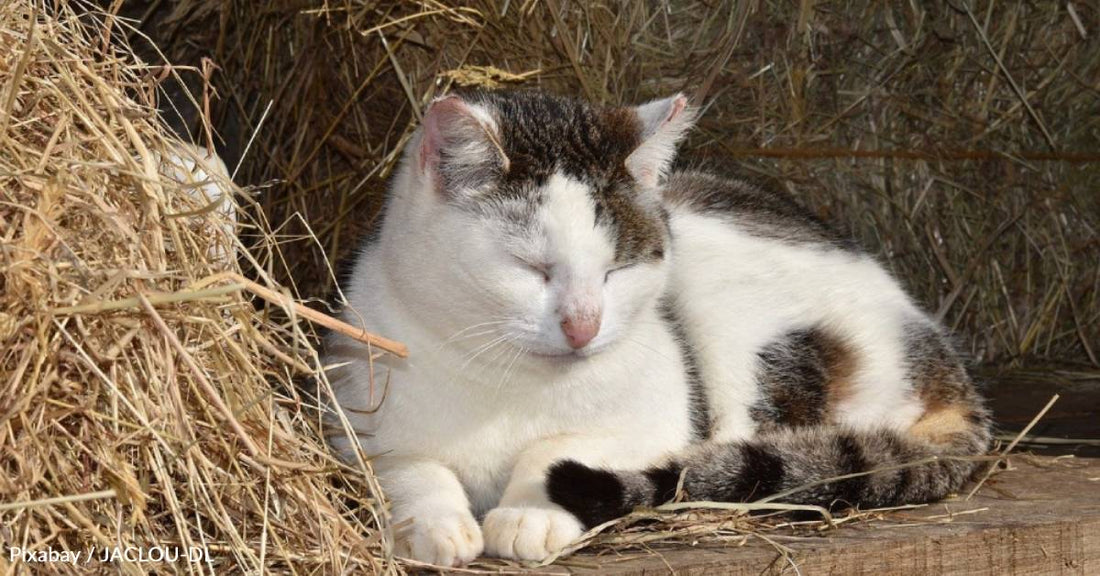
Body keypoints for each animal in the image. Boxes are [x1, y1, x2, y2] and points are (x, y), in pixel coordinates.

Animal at [321, 91, 994, 567]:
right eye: (532, 268)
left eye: (617, 269)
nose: (584, 325)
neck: (509, 381)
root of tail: (937, 351)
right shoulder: (352, 412)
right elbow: (410, 466)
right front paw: (434, 526)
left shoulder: (660, 419)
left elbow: (556, 450)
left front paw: (530, 513)